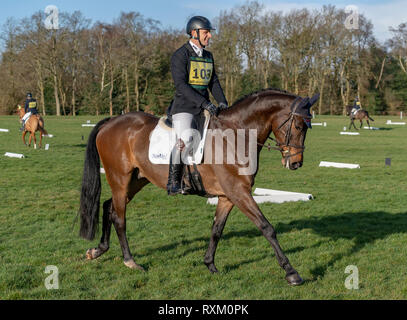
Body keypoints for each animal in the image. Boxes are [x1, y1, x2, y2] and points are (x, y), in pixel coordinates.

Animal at [79, 87, 320, 284]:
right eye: (299, 126)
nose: (296, 163)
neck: (235, 134)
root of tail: (111, 122)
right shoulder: (239, 192)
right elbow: (266, 227)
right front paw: (291, 273)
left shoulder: (227, 196)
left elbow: (216, 230)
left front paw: (210, 265)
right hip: (119, 179)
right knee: (120, 217)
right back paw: (130, 261)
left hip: (136, 180)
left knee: (109, 206)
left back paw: (98, 250)